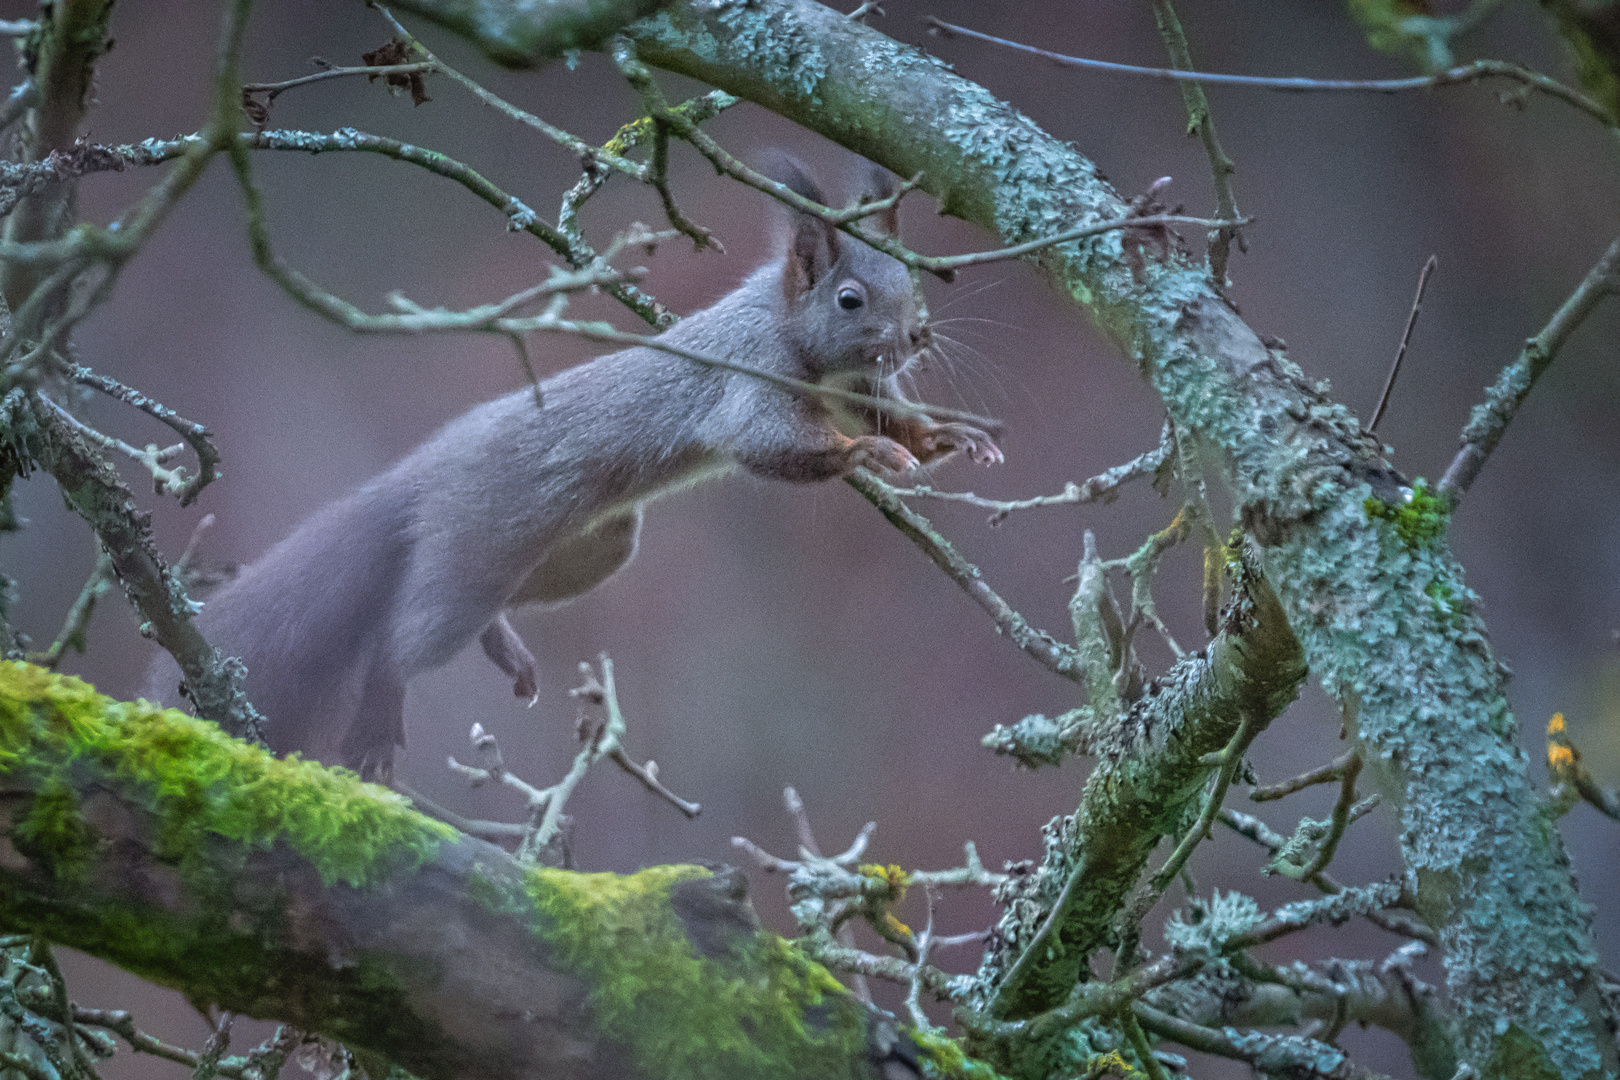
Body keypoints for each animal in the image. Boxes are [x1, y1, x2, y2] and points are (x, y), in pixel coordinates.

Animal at [149, 165, 997, 777]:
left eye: (910, 283)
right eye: (851, 298)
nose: (918, 336)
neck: (792, 330)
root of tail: (421, 476)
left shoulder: (855, 390)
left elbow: (893, 419)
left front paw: (949, 439)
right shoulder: (746, 380)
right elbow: (771, 443)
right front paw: (867, 457)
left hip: (583, 551)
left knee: (489, 603)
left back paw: (504, 646)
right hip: (473, 547)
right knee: (399, 638)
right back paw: (382, 716)